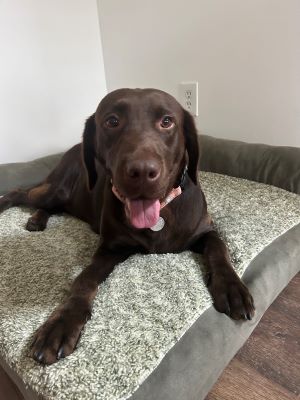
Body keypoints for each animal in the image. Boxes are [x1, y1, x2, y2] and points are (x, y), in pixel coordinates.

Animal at [0, 89, 254, 364]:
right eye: (112, 121)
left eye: (167, 121)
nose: (142, 171)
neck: (161, 213)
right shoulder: (110, 249)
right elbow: (84, 279)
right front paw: (61, 323)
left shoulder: (204, 231)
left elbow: (219, 249)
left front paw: (232, 288)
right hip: (58, 190)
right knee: (20, 192)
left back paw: (37, 219)